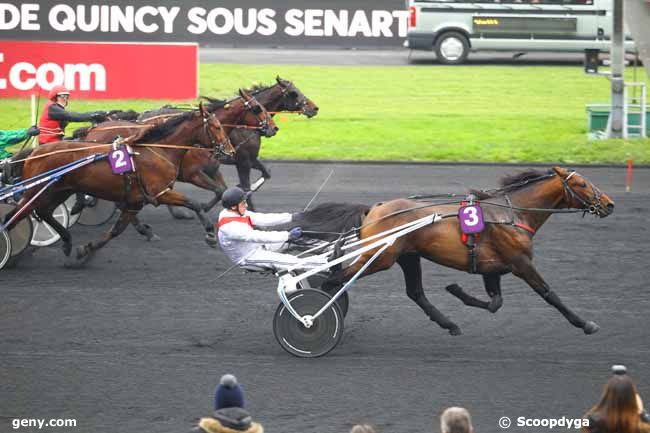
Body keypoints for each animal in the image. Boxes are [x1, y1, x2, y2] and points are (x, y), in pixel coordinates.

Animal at [1, 106, 230, 264]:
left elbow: (116, 231)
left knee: (42, 212)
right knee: (15, 215)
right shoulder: (160, 193)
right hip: (38, 190)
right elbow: (195, 203)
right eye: (217, 126)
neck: (158, 150)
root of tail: (35, 152)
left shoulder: (136, 201)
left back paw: (65, 241)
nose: (229, 150)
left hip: (59, 190)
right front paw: (210, 234)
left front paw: (85, 252)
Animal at [294, 167, 612, 336]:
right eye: (582, 184)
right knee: (334, 279)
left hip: (408, 256)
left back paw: (449, 324)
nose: (609, 204)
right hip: (381, 258)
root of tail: (374, 208)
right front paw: (585, 323)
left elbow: (495, 303)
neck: (512, 214)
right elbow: (550, 294)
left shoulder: (492, 268)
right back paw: (317, 312)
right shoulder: (520, 262)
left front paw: (456, 290)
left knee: (415, 293)